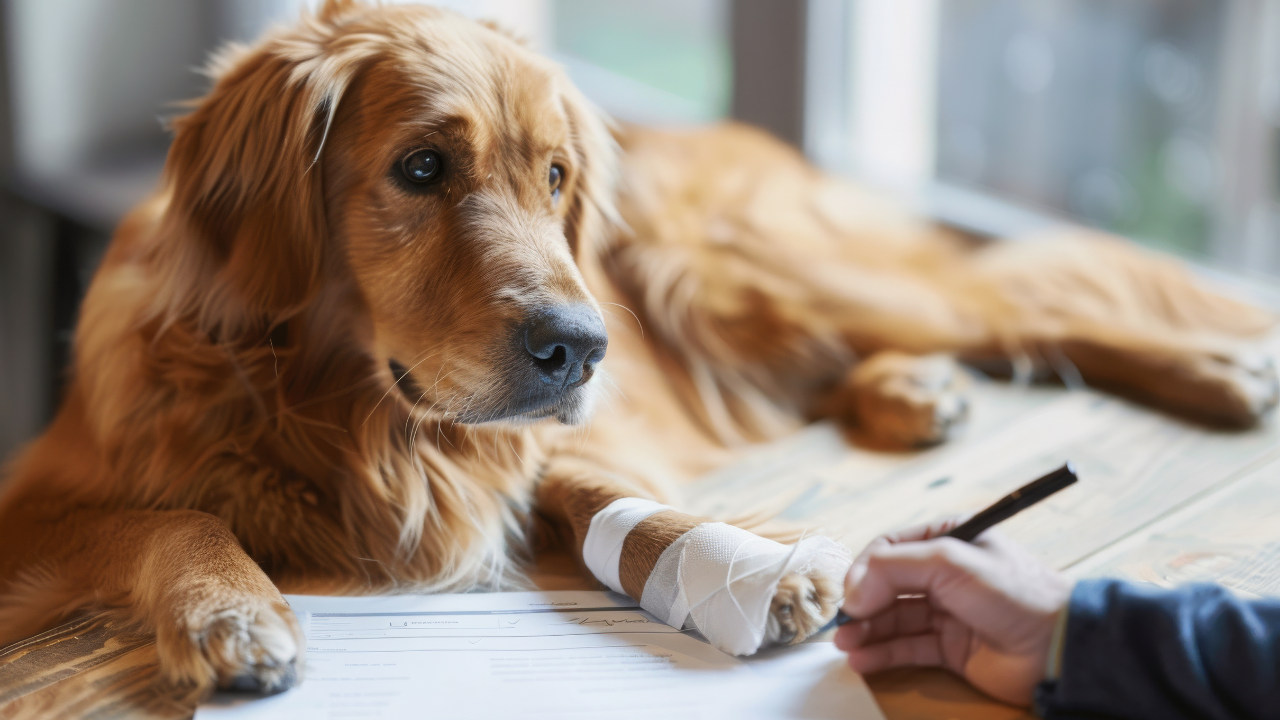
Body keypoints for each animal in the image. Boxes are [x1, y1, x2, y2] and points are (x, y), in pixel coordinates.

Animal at [2, 0, 1280, 696]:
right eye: (420, 168)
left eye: (556, 177)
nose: (582, 348)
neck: (354, 418)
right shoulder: (39, 502)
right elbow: (169, 514)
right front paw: (229, 611)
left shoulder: (542, 440)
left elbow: (603, 492)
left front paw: (742, 568)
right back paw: (912, 394)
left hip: (734, 265)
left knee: (1002, 306)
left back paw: (1213, 373)